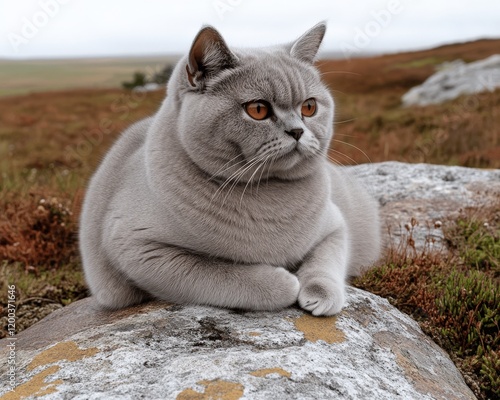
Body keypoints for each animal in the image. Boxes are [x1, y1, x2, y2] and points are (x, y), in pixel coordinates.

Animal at [80, 22, 380, 316]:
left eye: (309, 107)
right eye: (258, 109)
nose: (297, 131)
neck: (269, 197)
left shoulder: (335, 225)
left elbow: (326, 260)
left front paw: (320, 294)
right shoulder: (139, 248)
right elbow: (220, 273)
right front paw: (285, 282)